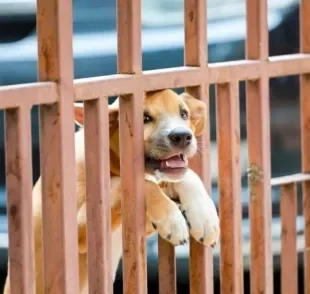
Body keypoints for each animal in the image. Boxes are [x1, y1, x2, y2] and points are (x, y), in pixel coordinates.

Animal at [3, 89, 219, 294]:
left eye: (184, 114)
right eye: (144, 118)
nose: (182, 136)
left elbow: (184, 176)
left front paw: (205, 218)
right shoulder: (77, 229)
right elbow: (133, 183)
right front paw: (172, 219)